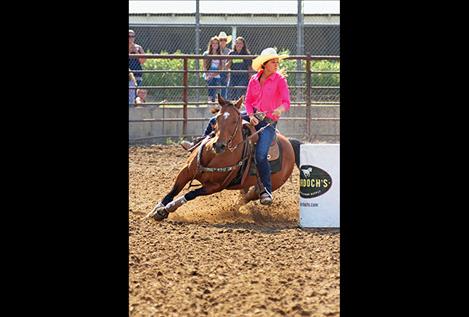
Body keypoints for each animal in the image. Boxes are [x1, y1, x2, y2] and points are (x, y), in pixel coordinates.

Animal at [146, 94, 300, 220]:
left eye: (235, 120)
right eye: (218, 118)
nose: (219, 145)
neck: (215, 156)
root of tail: (289, 142)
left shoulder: (215, 187)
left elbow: (190, 194)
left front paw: (166, 209)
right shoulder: (186, 171)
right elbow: (172, 191)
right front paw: (154, 210)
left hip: (267, 185)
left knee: (248, 197)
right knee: (243, 195)